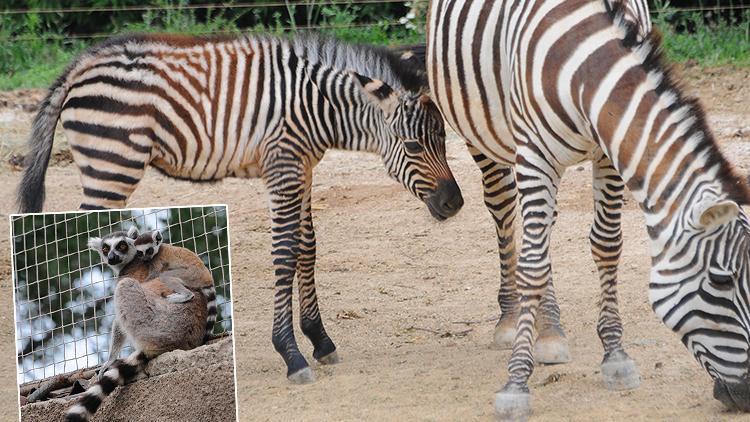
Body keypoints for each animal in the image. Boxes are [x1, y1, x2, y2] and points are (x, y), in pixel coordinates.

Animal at [16, 33, 464, 382]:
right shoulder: (283, 165)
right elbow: (285, 252)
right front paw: (291, 353)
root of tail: (82, 63)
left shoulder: (303, 167)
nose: (455, 203)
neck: (318, 109)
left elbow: (308, 247)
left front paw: (319, 339)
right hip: (111, 164)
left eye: (445, 140)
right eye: (413, 147)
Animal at [428, 0, 750, 418]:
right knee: (504, 211)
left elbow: (606, 246)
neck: (586, 61)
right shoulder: (535, 155)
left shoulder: (608, 153)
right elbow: (531, 266)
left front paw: (615, 355)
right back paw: (510, 319)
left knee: (544, 226)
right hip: (484, 136)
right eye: (721, 281)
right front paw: (516, 384)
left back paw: (549, 330)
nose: (748, 396)